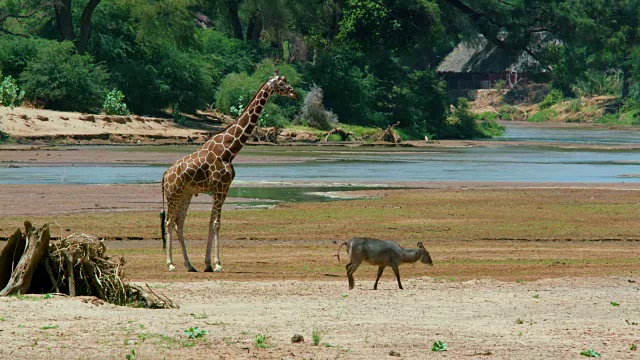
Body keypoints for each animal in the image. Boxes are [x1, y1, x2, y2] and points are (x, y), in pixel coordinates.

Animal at [161, 71, 298, 272]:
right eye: (282, 83)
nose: (294, 93)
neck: (230, 150)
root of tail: (165, 175)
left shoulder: (224, 189)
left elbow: (212, 223)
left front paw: (208, 264)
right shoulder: (219, 187)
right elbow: (217, 223)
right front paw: (218, 264)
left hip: (186, 194)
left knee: (179, 223)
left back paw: (189, 265)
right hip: (174, 193)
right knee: (169, 222)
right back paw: (170, 264)